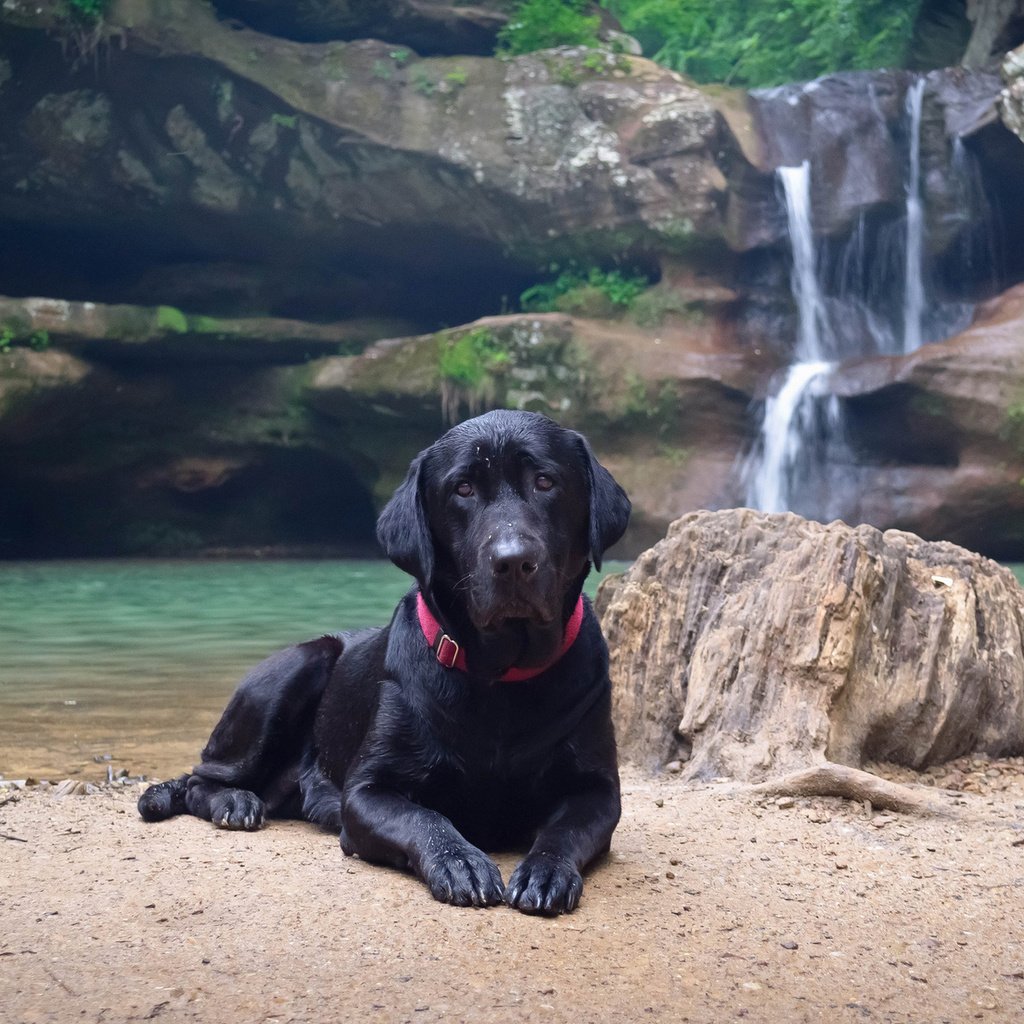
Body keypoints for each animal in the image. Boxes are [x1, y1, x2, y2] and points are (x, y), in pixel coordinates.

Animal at [139, 407, 626, 913]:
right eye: (463, 489)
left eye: (545, 481)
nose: (513, 561)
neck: (500, 676)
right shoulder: (367, 792)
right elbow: (425, 818)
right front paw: (460, 861)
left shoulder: (598, 792)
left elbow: (563, 830)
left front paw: (546, 871)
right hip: (297, 668)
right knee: (200, 778)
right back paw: (234, 802)